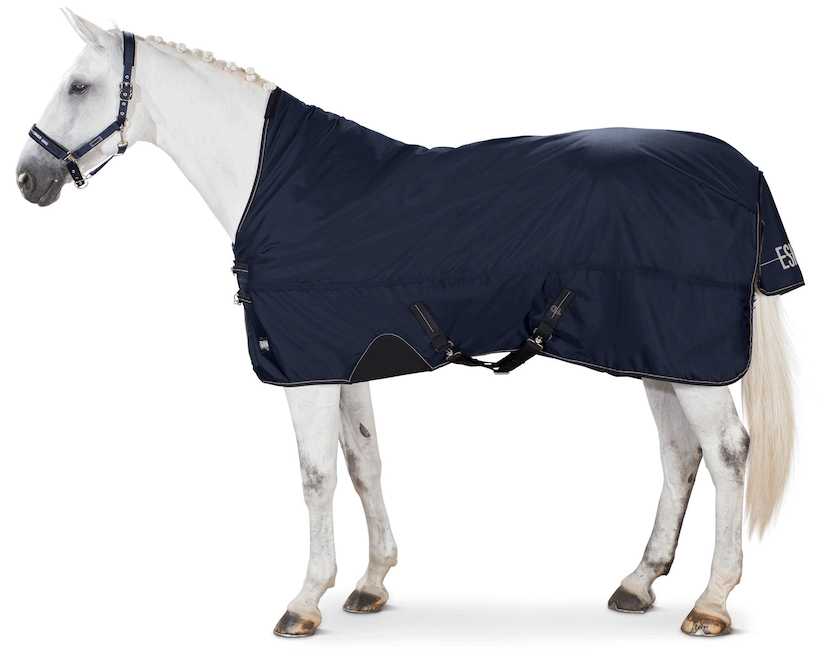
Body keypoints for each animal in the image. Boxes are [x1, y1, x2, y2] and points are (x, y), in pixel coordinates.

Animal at [16, 10, 801, 638]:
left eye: (78, 87)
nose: (27, 179)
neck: (281, 185)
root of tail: (740, 173)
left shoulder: (305, 370)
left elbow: (316, 477)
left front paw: (306, 598)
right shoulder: (345, 360)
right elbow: (363, 464)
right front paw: (371, 582)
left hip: (690, 358)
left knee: (726, 452)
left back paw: (711, 602)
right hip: (658, 354)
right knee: (678, 454)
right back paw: (638, 582)